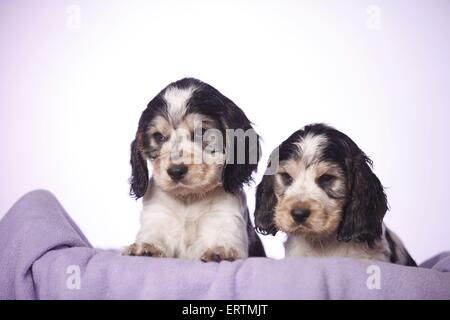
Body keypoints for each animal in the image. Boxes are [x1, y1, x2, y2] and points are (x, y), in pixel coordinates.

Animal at [122, 78, 264, 262]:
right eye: (159, 136)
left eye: (202, 132)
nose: (176, 171)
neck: (188, 199)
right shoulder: (158, 216)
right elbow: (153, 235)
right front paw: (146, 247)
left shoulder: (225, 217)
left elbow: (224, 238)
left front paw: (221, 251)